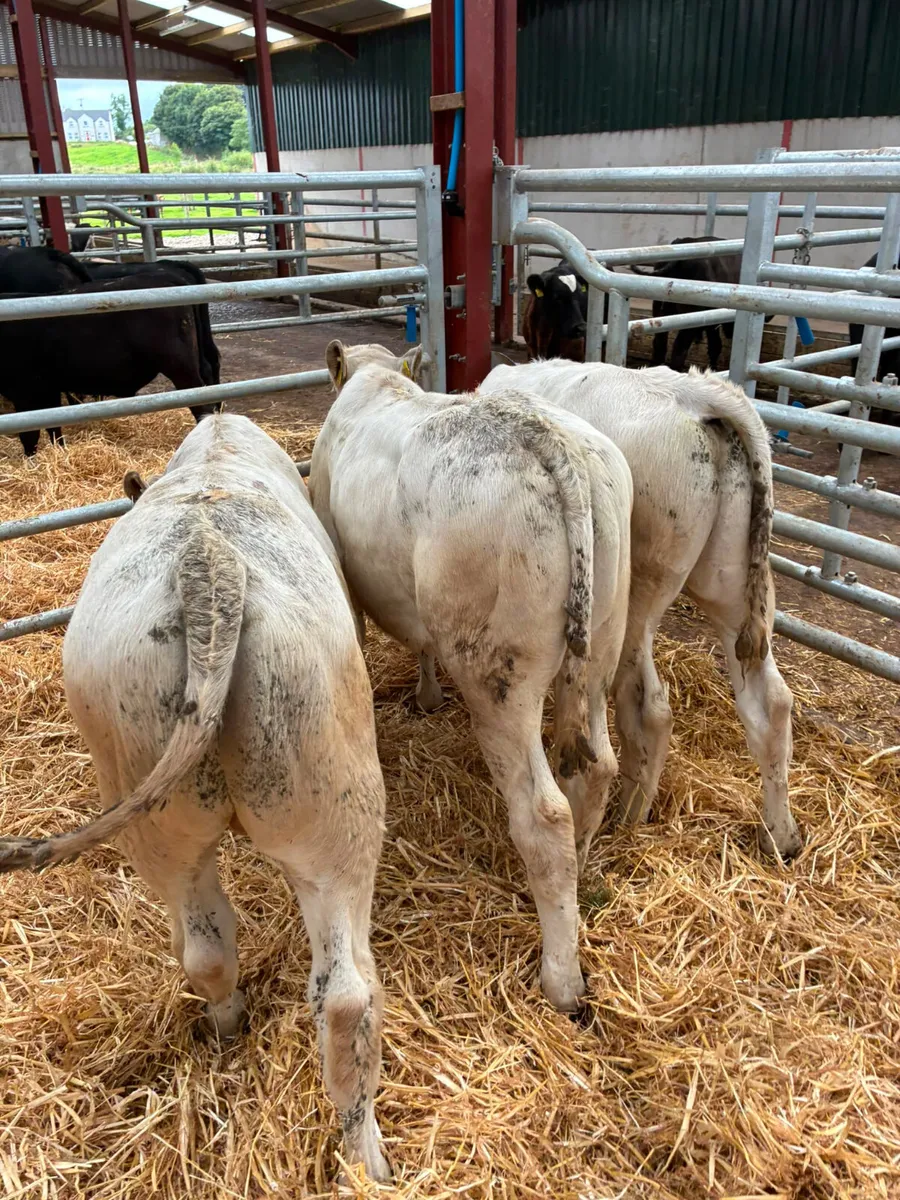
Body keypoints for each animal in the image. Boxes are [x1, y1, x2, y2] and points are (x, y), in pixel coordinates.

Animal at [0, 275, 219, 457]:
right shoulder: (47, 388)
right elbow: (53, 425)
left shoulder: (24, 390)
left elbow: (30, 434)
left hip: (180, 366)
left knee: (201, 403)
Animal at [0, 413, 390, 1183]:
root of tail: (209, 568)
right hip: (333, 813)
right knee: (329, 990)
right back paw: (365, 1155)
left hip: (161, 818)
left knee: (219, 952)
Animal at [309, 340, 633, 1012]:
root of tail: (552, 444)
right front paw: (429, 694)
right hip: (601, 645)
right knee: (597, 767)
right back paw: (583, 876)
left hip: (496, 677)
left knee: (544, 813)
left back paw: (563, 979)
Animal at [480, 359, 800, 862]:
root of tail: (694, 392)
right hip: (732, 585)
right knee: (770, 702)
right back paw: (780, 836)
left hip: (639, 596)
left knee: (649, 705)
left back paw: (631, 812)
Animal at [631, 235, 743, 371]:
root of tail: (684, 241)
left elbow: (714, 346)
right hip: (690, 320)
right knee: (679, 347)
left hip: (660, 310)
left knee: (660, 343)